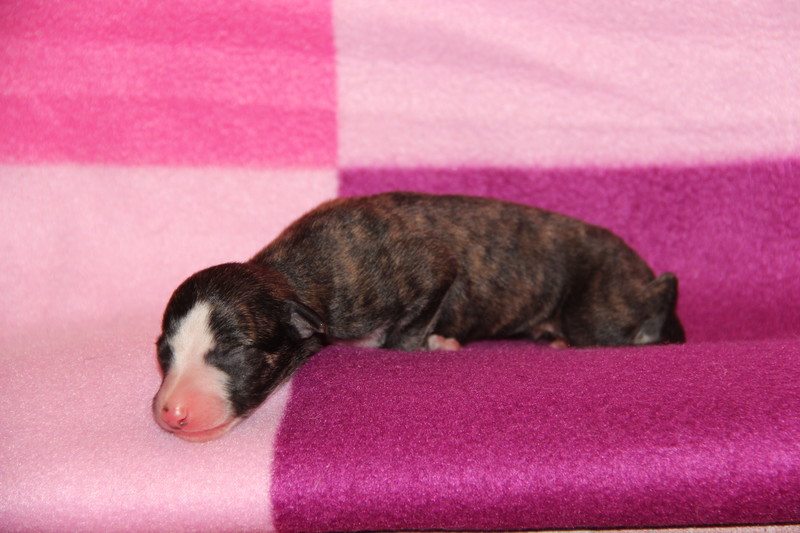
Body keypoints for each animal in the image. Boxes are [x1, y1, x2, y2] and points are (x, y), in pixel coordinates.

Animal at [153, 192, 685, 442]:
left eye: (234, 350)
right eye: (163, 353)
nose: (169, 414)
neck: (289, 275)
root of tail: (636, 265)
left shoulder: (430, 271)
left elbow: (406, 330)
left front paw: (431, 343)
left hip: (598, 309)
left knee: (656, 296)